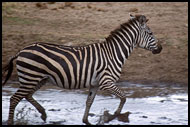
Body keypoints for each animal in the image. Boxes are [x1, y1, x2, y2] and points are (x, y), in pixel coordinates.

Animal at [1, 14, 162, 124]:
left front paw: (86, 121)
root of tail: (21, 51)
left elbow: (89, 102)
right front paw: (111, 117)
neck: (113, 53)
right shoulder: (106, 82)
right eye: (150, 33)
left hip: (39, 78)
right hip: (31, 77)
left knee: (26, 95)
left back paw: (43, 114)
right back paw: (11, 121)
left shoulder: (95, 84)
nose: (160, 48)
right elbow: (123, 97)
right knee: (15, 98)